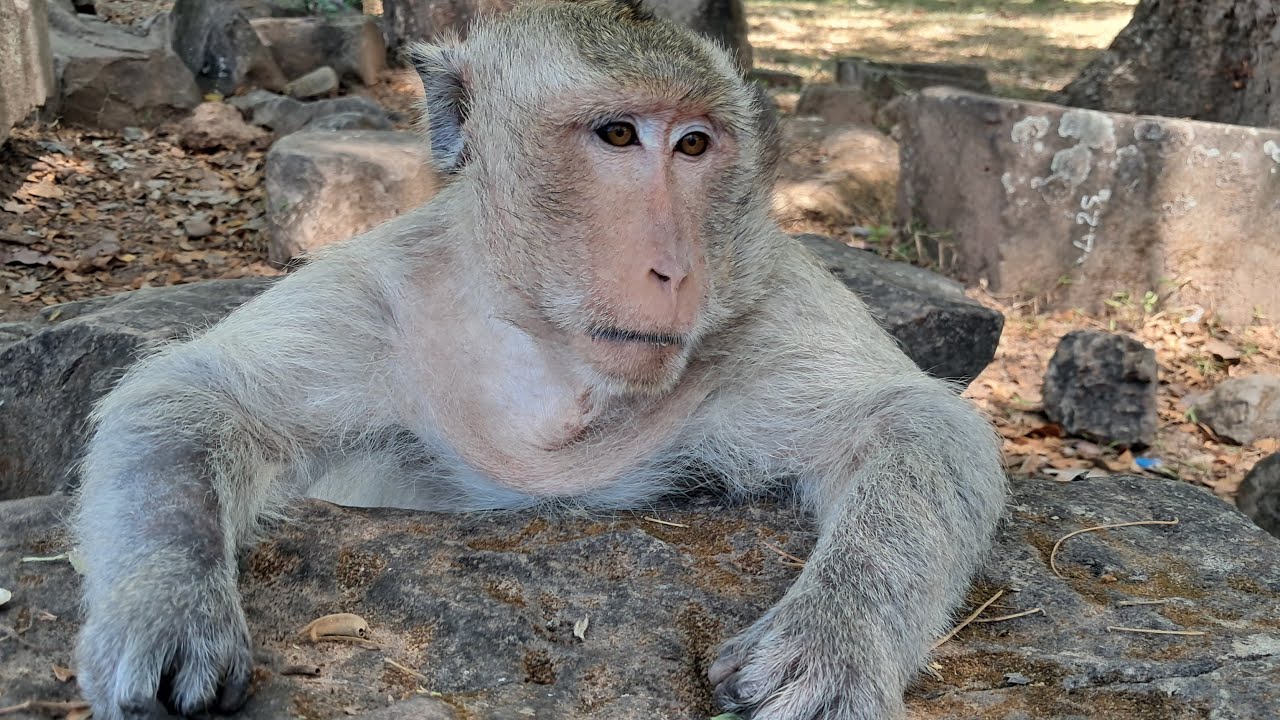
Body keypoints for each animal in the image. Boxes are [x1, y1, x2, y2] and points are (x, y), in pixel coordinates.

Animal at [71, 1, 1007, 718]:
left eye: (695, 146)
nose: (677, 269)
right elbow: (194, 394)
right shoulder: (376, 291)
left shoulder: (765, 299)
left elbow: (919, 422)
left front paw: (831, 642)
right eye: (619, 135)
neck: (558, 357)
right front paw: (168, 608)